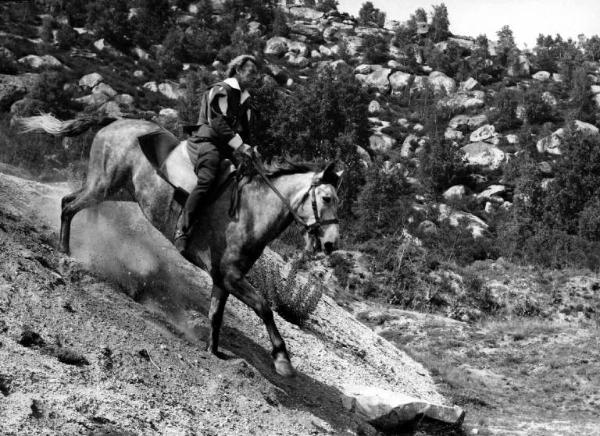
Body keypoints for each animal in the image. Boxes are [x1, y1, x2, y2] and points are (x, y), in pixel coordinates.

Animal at [17, 114, 342, 376]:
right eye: (326, 198)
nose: (330, 244)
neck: (253, 210)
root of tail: (115, 120)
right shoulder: (232, 276)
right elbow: (264, 307)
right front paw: (282, 359)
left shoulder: (222, 279)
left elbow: (215, 315)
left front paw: (214, 351)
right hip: (103, 185)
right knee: (68, 206)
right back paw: (66, 251)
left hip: (119, 190)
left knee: (72, 204)